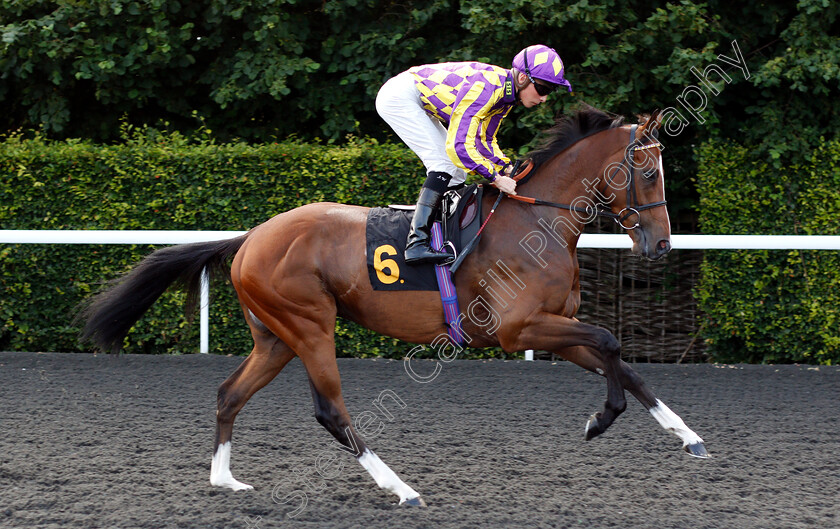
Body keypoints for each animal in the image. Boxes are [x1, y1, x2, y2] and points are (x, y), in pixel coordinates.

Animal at [79, 105, 708, 506]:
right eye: (647, 171)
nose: (661, 244)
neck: (538, 222)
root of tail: (252, 236)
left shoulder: (554, 324)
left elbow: (620, 360)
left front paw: (687, 437)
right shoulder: (520, 328)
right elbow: (610, 343)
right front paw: (600, 420)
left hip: (276, 337)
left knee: (229, 394)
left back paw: (225, 481)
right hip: (310, 325)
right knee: (331, 412)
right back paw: (400, 488)